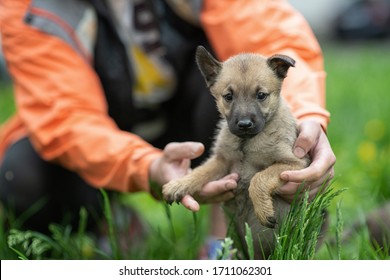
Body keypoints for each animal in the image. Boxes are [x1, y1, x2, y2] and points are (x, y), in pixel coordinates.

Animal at [163, 46, 310, 258]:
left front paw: (263, 211)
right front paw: (179, 184)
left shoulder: (295, 163)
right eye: (228, 96)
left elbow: (258, 178)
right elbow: (200, 171)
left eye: (261, 95)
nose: (244, 124)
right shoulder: (221, 160)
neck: (246, 142)